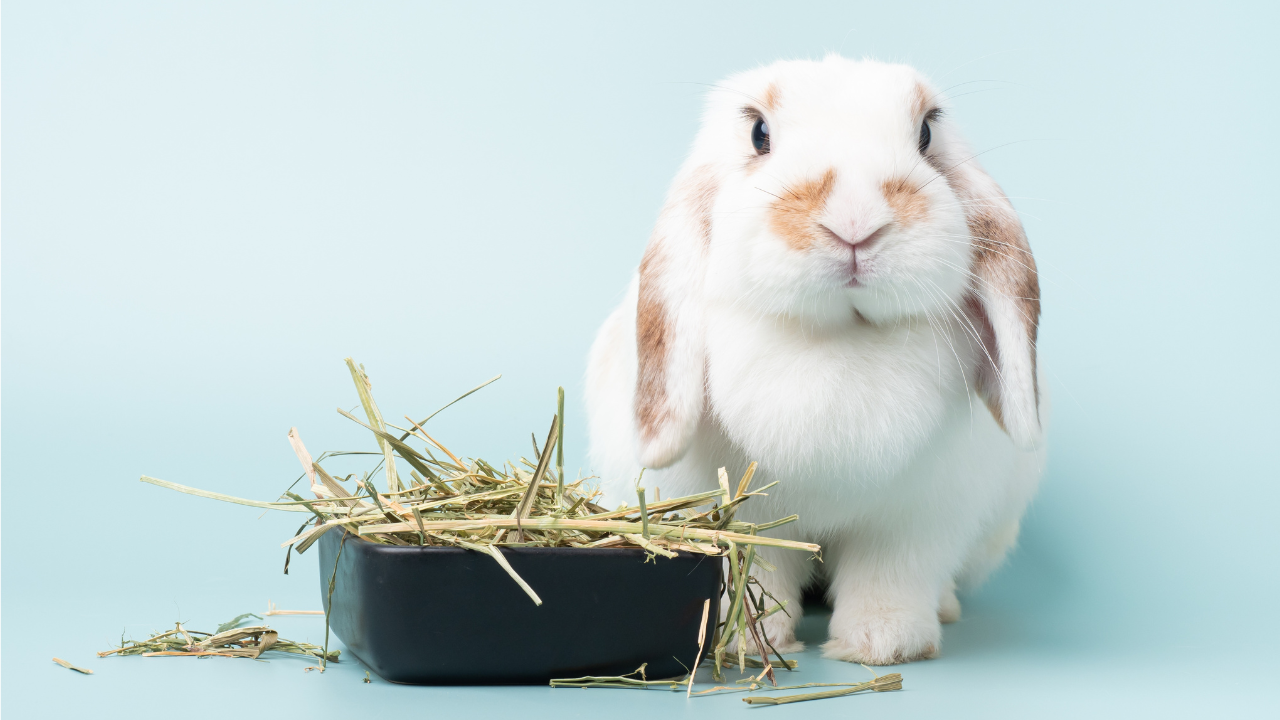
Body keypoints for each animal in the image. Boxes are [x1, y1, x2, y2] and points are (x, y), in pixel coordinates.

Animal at [584, 55, 1047, 665]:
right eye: (759, 134)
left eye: (926, 133)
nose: (856, 222)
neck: (836, 340)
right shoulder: (744, 516)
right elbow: (754, 575)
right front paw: (747, 642)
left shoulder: (917, 520)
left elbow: (890, 578)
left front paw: (882, 645)